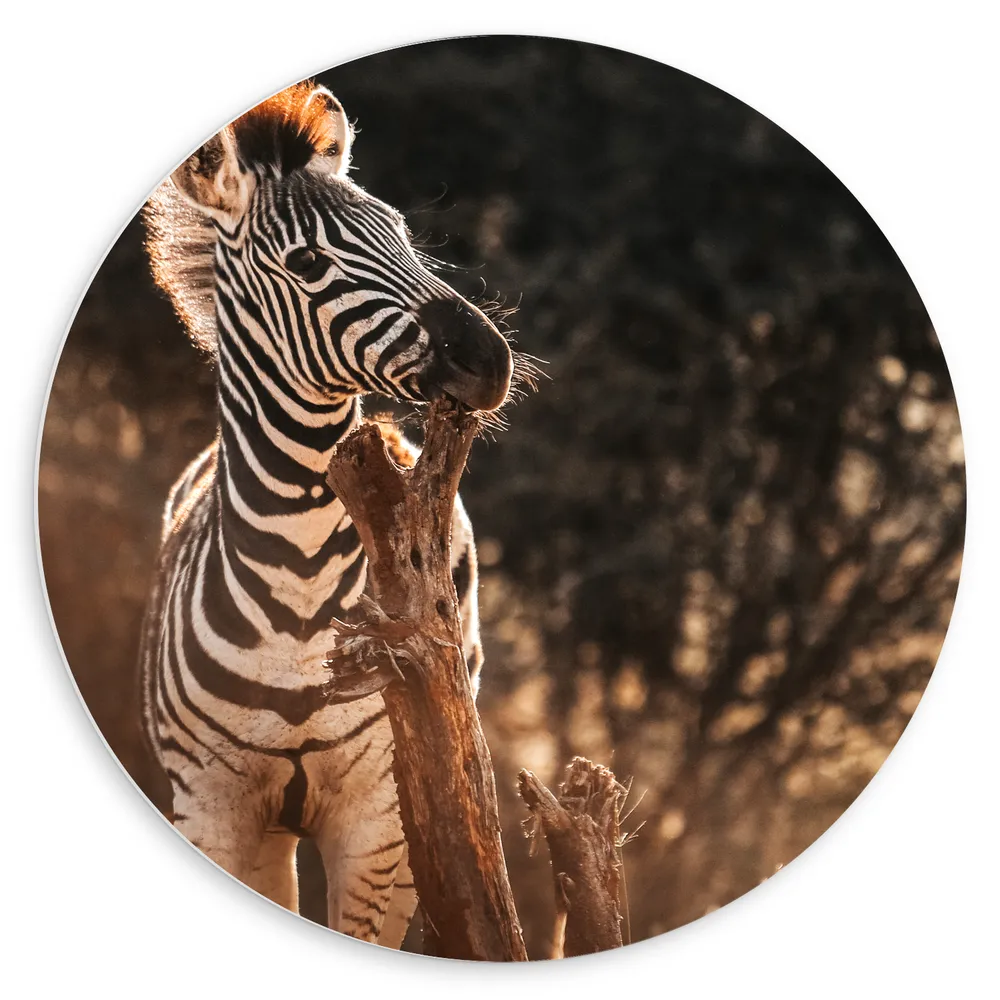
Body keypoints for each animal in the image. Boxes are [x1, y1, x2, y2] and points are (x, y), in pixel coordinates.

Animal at [138, 81, 512, 947]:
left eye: (401, 234)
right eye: (308, 264)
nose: (491, 361)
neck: (300, 571)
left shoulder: (377, 820)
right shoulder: (211, 806)